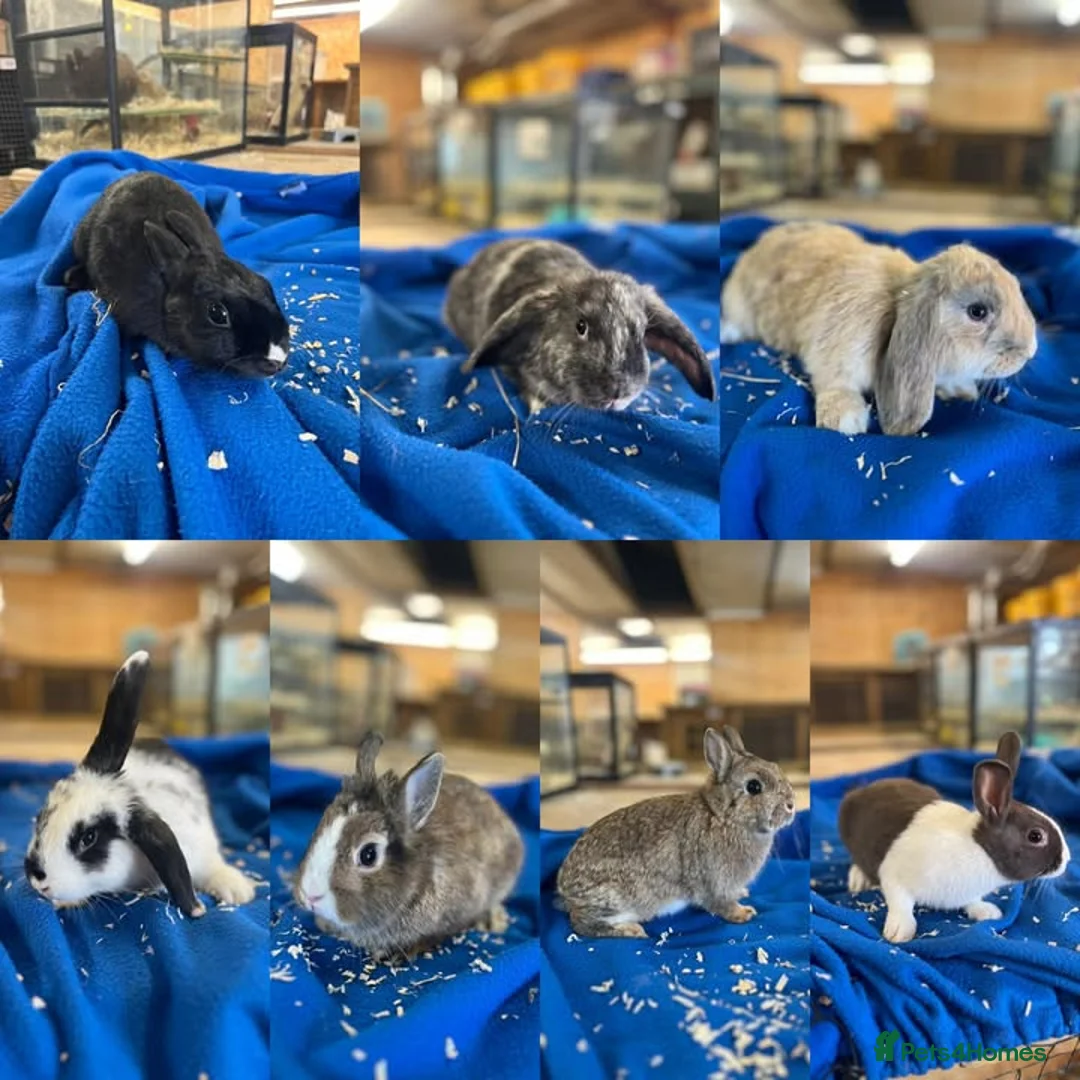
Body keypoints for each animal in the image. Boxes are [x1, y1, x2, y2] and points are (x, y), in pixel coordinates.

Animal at [556, 727, 795, 938]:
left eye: (776, 767)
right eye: (754, 787)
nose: (791, 805)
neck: (723, 817)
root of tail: (565, 889)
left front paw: (743, 894)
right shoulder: (716, 884)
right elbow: (722, 905)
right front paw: (744, 913)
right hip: (618, 900)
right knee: (581, 923)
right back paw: (631, 931)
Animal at [720, 221, 1037, 435]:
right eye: (977, 311)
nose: (1031, 351)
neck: (898, 299)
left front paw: (961, 389)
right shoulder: (834, 353)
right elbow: (834, 382)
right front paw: (846, 419)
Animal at [838, 731, 1070, 944]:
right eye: (1035, 836)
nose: (1066, 860)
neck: (980, 849)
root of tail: (859, 792)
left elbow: (972, 901)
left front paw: (987, 912)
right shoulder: (893, 875)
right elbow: (900, 902)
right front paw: (899, 931)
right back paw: (858, 880)